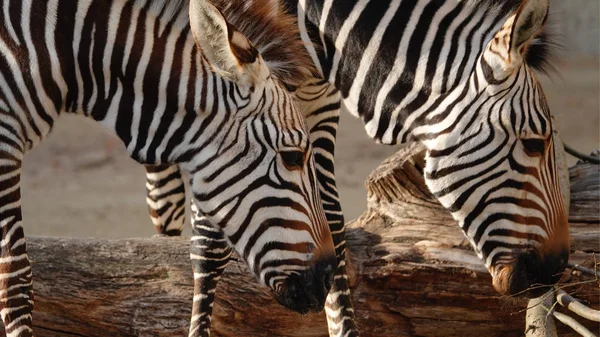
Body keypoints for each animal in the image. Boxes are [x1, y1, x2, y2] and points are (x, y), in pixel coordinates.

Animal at [144, 0, 568, 334]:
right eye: (534, 143)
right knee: (163, 194)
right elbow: (210, 242)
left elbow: (331, 220)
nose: (556, 270)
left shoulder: (316, 92)